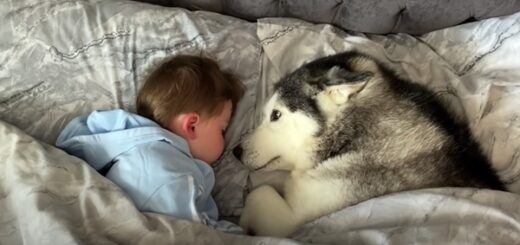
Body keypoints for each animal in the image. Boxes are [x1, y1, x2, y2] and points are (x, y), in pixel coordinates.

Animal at [236, 50, 504, 237]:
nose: (235, 151)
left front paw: (242, 224)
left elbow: (259, 193)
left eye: (276, 115)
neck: (351, 136)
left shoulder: (292, 221)